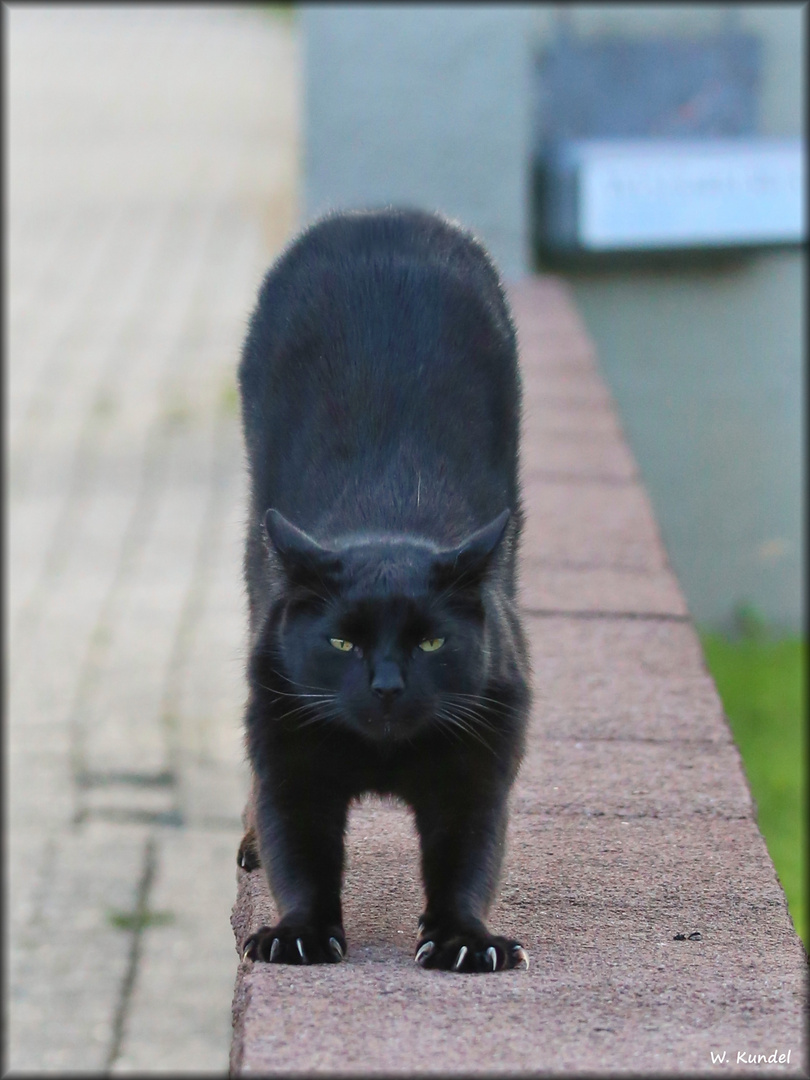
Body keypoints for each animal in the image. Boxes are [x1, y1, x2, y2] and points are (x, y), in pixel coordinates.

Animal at [236, 206, 533, 976]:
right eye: (342, 641)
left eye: (431, 641)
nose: (388, 686)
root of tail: (382, 215)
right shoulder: (290, 763)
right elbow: (301, 857)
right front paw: (297, 935)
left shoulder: (476, 774)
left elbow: (465, 863)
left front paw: (466, 941)